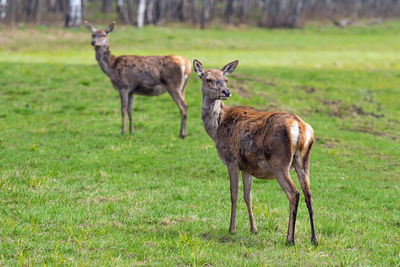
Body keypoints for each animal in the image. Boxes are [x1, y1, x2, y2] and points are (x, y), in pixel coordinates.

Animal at [194, 59, 318, 247]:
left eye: (226, 79)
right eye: (208, 79)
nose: (226, 92)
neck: (217, 128)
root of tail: (301, 127)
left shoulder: (231, 160)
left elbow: (234, 194)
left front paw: (232, 229)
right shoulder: (247, 166)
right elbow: (248, 196)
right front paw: (254, 229)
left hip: (279, 161)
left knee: (293, 193)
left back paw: (290, 239)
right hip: (303, 161)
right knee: (308, 195)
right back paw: (314, 239)